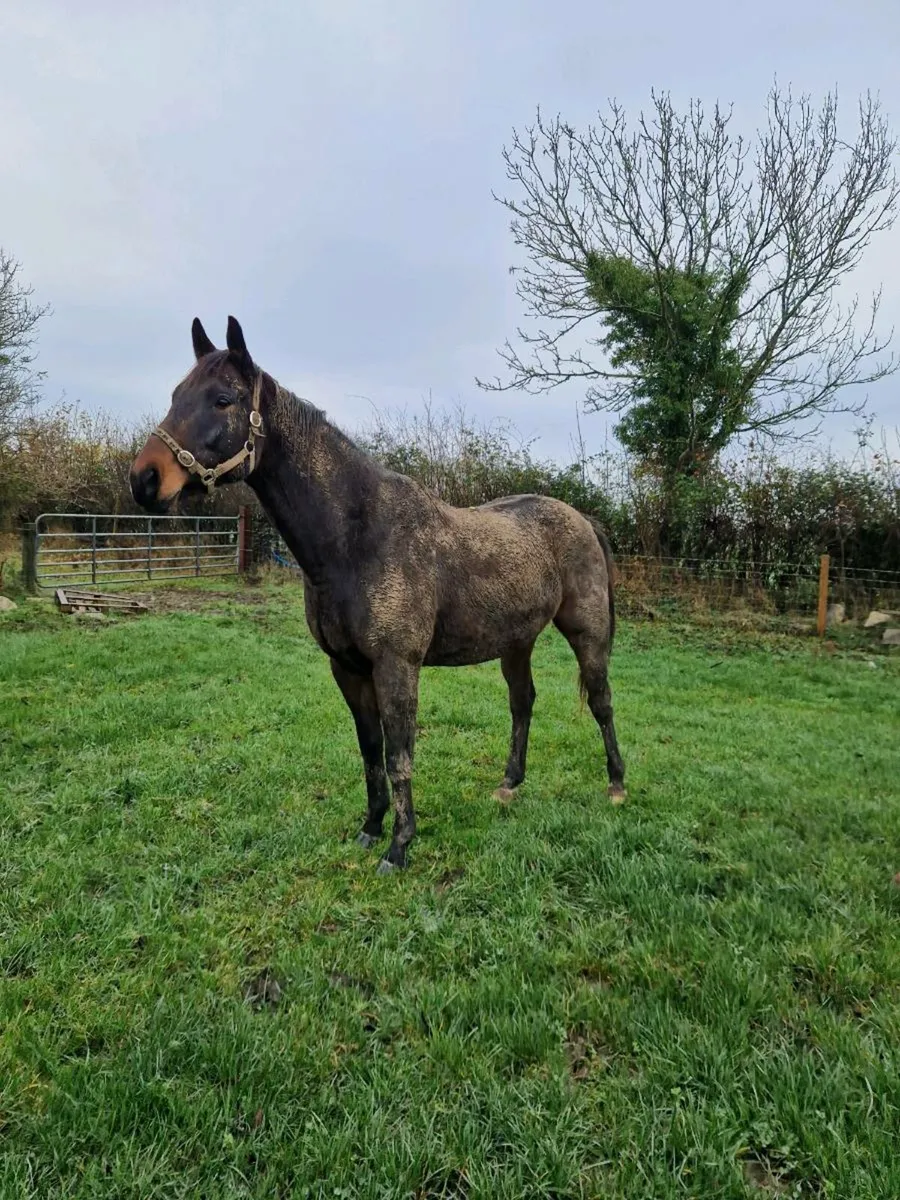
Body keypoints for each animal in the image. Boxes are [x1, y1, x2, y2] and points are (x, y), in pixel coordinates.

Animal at [130, 317, 626, 873]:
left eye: (222, 399)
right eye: (177, 395)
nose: (144, 478)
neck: (355, 538)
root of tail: (583, 520)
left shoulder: (396, 666)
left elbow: (398, 755)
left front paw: (400, 846)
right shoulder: (347, 668)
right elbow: (370, 750)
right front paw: (371, 828)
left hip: (586, 632)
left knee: (601, 700)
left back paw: (616, 785)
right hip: (516, 642)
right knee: (523, 703)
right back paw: (508, 785)